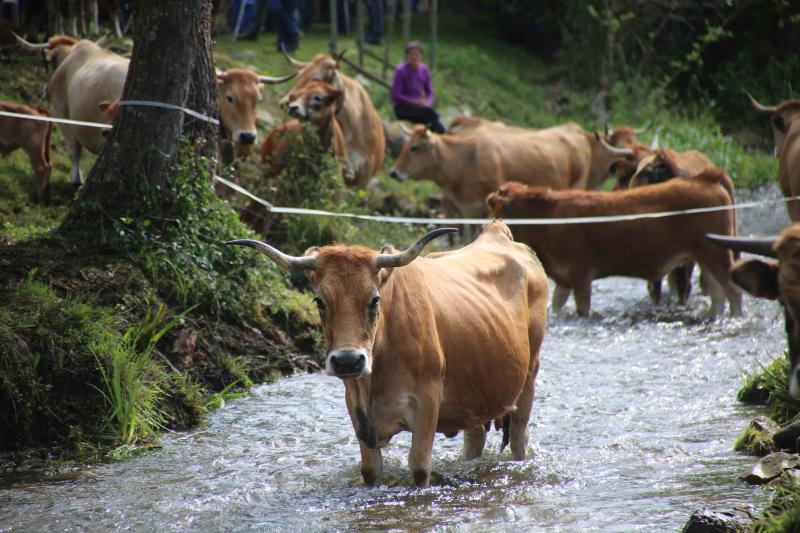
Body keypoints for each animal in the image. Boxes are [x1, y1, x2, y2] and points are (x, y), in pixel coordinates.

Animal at [228, 220, 548, 486]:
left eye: (374, 299)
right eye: (319, 301)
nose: (347, 360)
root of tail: (498, 232)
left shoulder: (427, 404)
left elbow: (419, 468)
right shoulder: (357, 410)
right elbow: (370, 471)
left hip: (529, 378)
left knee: (519, 437)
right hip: (476, 399)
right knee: (475, 440)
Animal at [488, 168, 744, 318]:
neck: (548, 218)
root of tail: (703, 177)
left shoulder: (580, 275)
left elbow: (583, 309)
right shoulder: (564, 279)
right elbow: (556, 306)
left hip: (715, 253)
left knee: (732, 291)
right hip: (705, 256)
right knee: (718, 294)